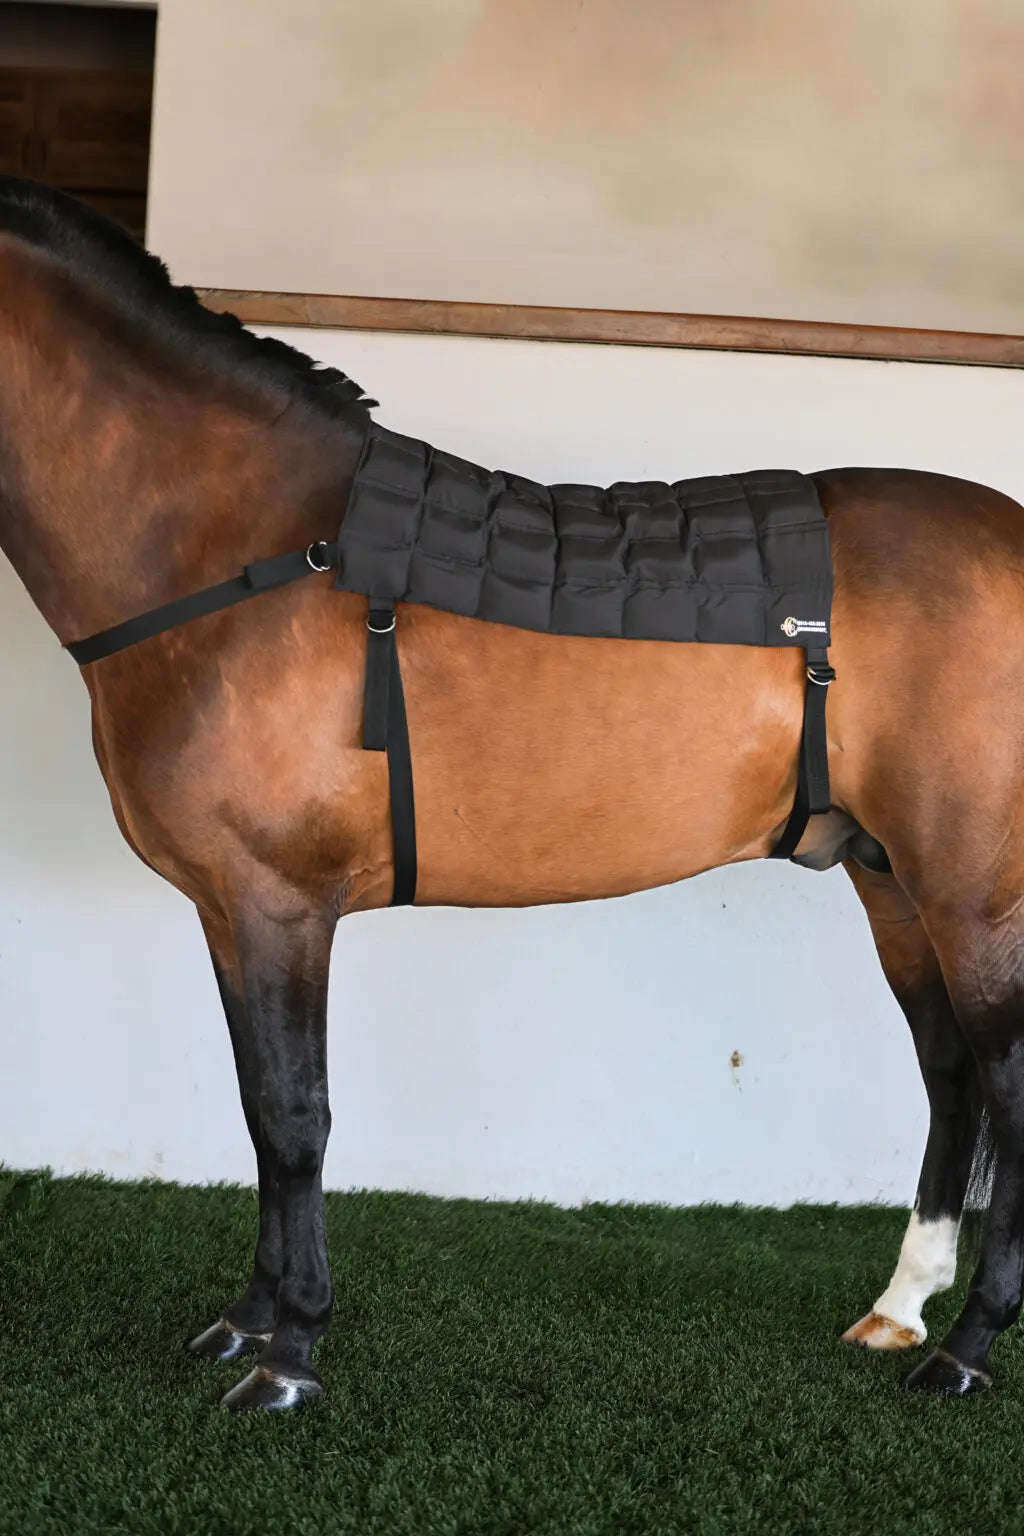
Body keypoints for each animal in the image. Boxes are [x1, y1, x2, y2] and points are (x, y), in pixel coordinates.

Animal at [0, 173, 1018, 1412]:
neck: (244, 557)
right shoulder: (228, 909)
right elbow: (256, 1107)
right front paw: (247, 1324)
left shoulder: (280, 901)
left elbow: (293, 1116)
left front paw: (289, 1357)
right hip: (892, 881)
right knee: (950, 1075)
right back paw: (898, 1309)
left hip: (973, 897)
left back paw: (966, 1349)